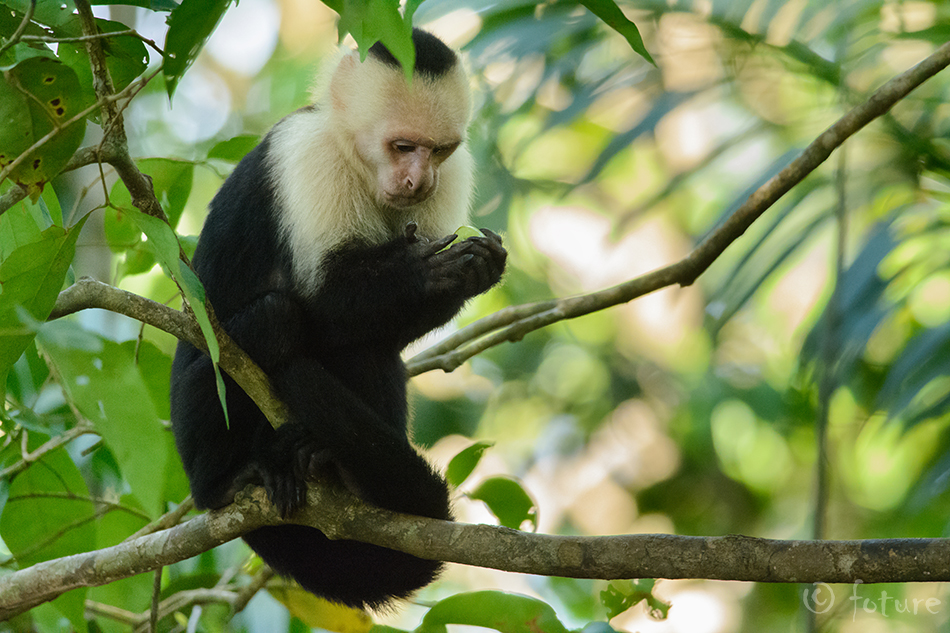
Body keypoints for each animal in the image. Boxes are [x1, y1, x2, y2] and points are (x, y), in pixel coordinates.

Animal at [171, 29, 512, 608]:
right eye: (403, 147)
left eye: (438, 150)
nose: (419, 181)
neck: (359, 163)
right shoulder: (308, 155)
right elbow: (322, 303)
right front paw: (432, 271)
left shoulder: (453, 175)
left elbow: (378, 331)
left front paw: (477, 269)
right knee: (271, 325)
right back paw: (229, 480)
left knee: (370, 350)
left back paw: (324, 460)